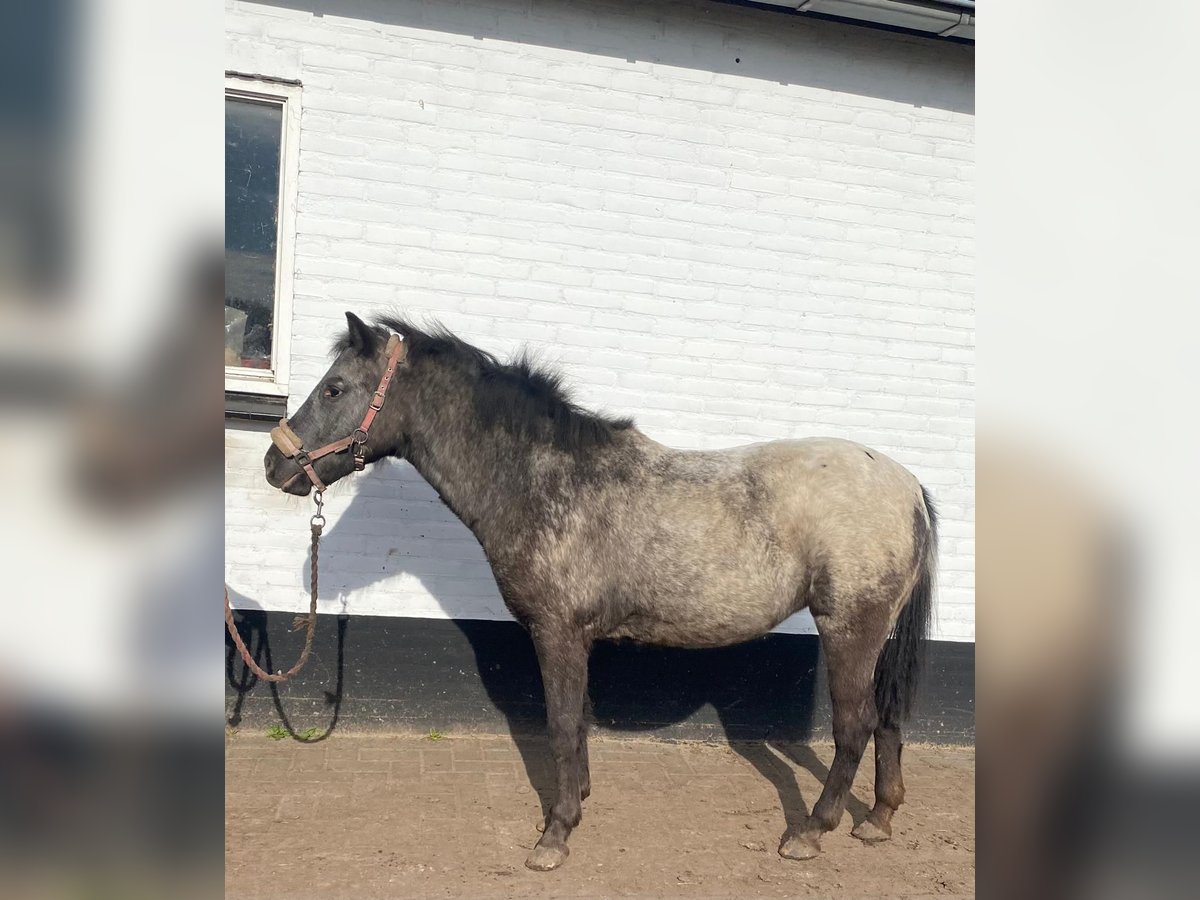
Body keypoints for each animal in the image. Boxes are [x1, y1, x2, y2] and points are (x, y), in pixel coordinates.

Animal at [262, 312, 936, 873]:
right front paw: (578, 800)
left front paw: (555, 835)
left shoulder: (557, 632)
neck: (543, 481)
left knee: (853, 725)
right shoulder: (576, 638)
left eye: (334, 388)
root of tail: (906, 485)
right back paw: (878, 820)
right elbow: (578, 721)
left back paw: (811, 833)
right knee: (886, 718)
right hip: (877, 636)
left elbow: (561, 723)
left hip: (849, 629)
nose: (275, 465)